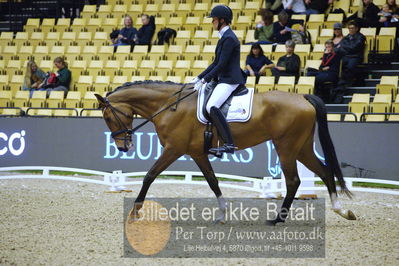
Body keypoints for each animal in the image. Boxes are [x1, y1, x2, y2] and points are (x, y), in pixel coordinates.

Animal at [95, 80, 358, 224]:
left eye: (107, 117)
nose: (123, 147)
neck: (169, 106)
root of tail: (302, 97)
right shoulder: (198, 153)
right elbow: (213, 182)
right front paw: (222, 214)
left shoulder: (173, 149)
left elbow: (149, 176)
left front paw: (134, 213)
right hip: (301, 148)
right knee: (324, 171)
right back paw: (342, 211)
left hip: (286, 147)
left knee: (294, 180)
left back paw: (277, 219)